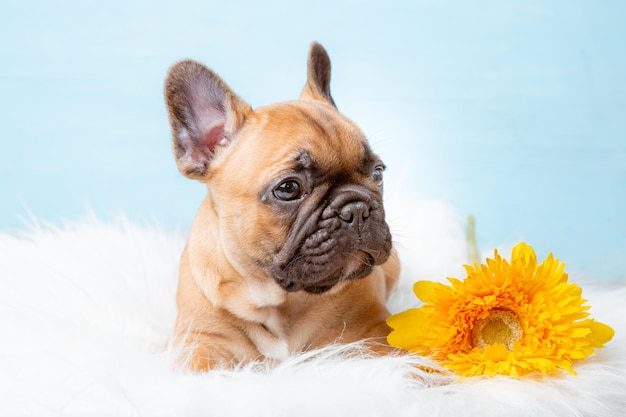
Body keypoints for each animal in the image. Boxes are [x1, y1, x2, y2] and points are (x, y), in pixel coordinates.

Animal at [165, 42, 400, 370]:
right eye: (289, 189)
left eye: (378, 173)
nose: (356, 209)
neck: (274, 301)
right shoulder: (200, 340)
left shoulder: (373, 329)